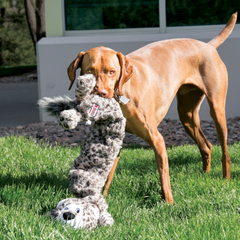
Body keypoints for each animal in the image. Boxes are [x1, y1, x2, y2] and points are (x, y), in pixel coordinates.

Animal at [66, 13, 237, 204]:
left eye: (111, 72)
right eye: (89, 71)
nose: (101, 93)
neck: (123, 94)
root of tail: (208, 45)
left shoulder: (157, 139)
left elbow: (163, 174)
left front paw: (168, 202)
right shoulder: (112, 141)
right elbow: (107, 174)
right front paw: (100, 197)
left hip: (217, 110)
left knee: (224, 151)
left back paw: (226, 178)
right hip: (187, 115)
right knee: (206, 145)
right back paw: (205, 174)